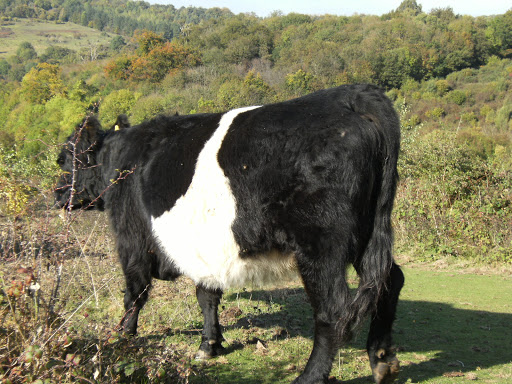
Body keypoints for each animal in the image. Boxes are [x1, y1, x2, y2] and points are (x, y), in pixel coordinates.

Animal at [55, 85, 404, 384]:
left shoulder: (132, 240)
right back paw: (382, 360)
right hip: (367, 233)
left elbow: (135, 293)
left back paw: (310, 376)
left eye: (66, 158)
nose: (57, 195)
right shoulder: (205, 248)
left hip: (320, 243)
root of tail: (351, 95)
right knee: (390, 279)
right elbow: (207, 295)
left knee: (333, 309)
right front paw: (209, 344)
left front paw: (122, 336)